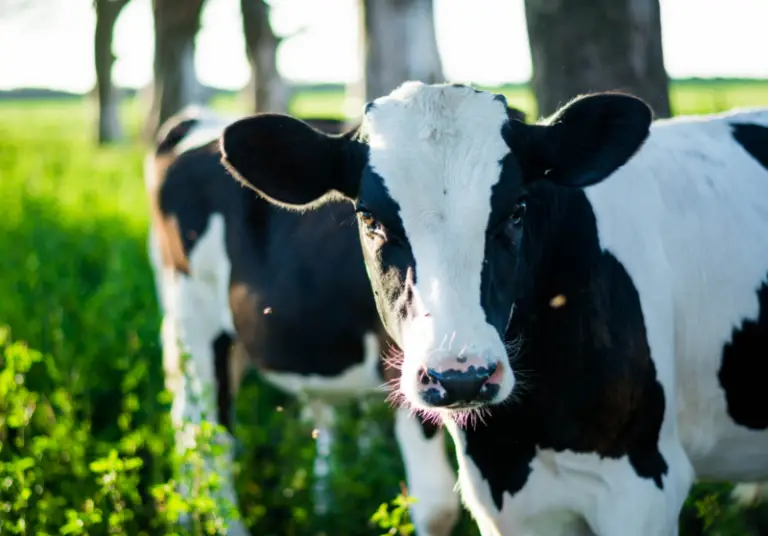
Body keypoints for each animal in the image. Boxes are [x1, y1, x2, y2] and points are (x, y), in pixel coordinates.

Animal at [218, 81, 768, 535]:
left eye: (517, 210)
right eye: (369, 218)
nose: (460, 377)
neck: (520, 438)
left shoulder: (640, 486)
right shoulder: (504, 499)